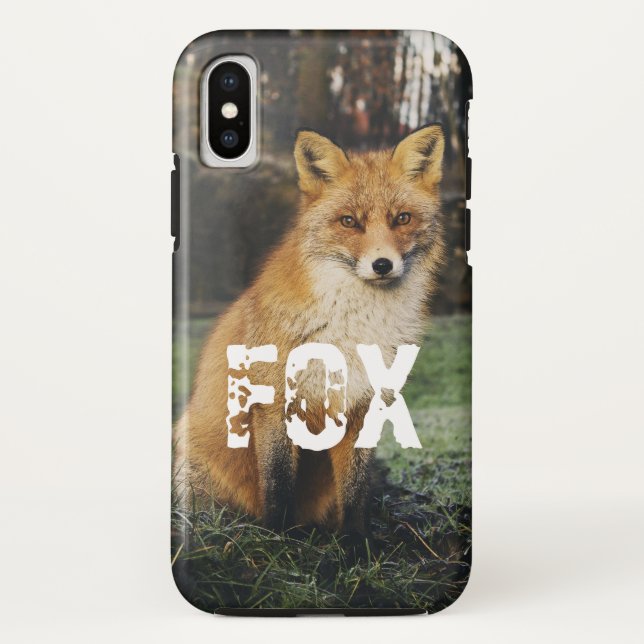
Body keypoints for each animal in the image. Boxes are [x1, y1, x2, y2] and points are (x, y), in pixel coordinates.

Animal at [173, 124, 446, 534]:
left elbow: (355, 492)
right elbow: (278, 483)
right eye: (349, 221)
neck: (352, 329)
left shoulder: (363, 406)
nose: (382, 264)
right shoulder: (274, 402)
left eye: (402, 218)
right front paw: (278, 538)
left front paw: (356, 542)